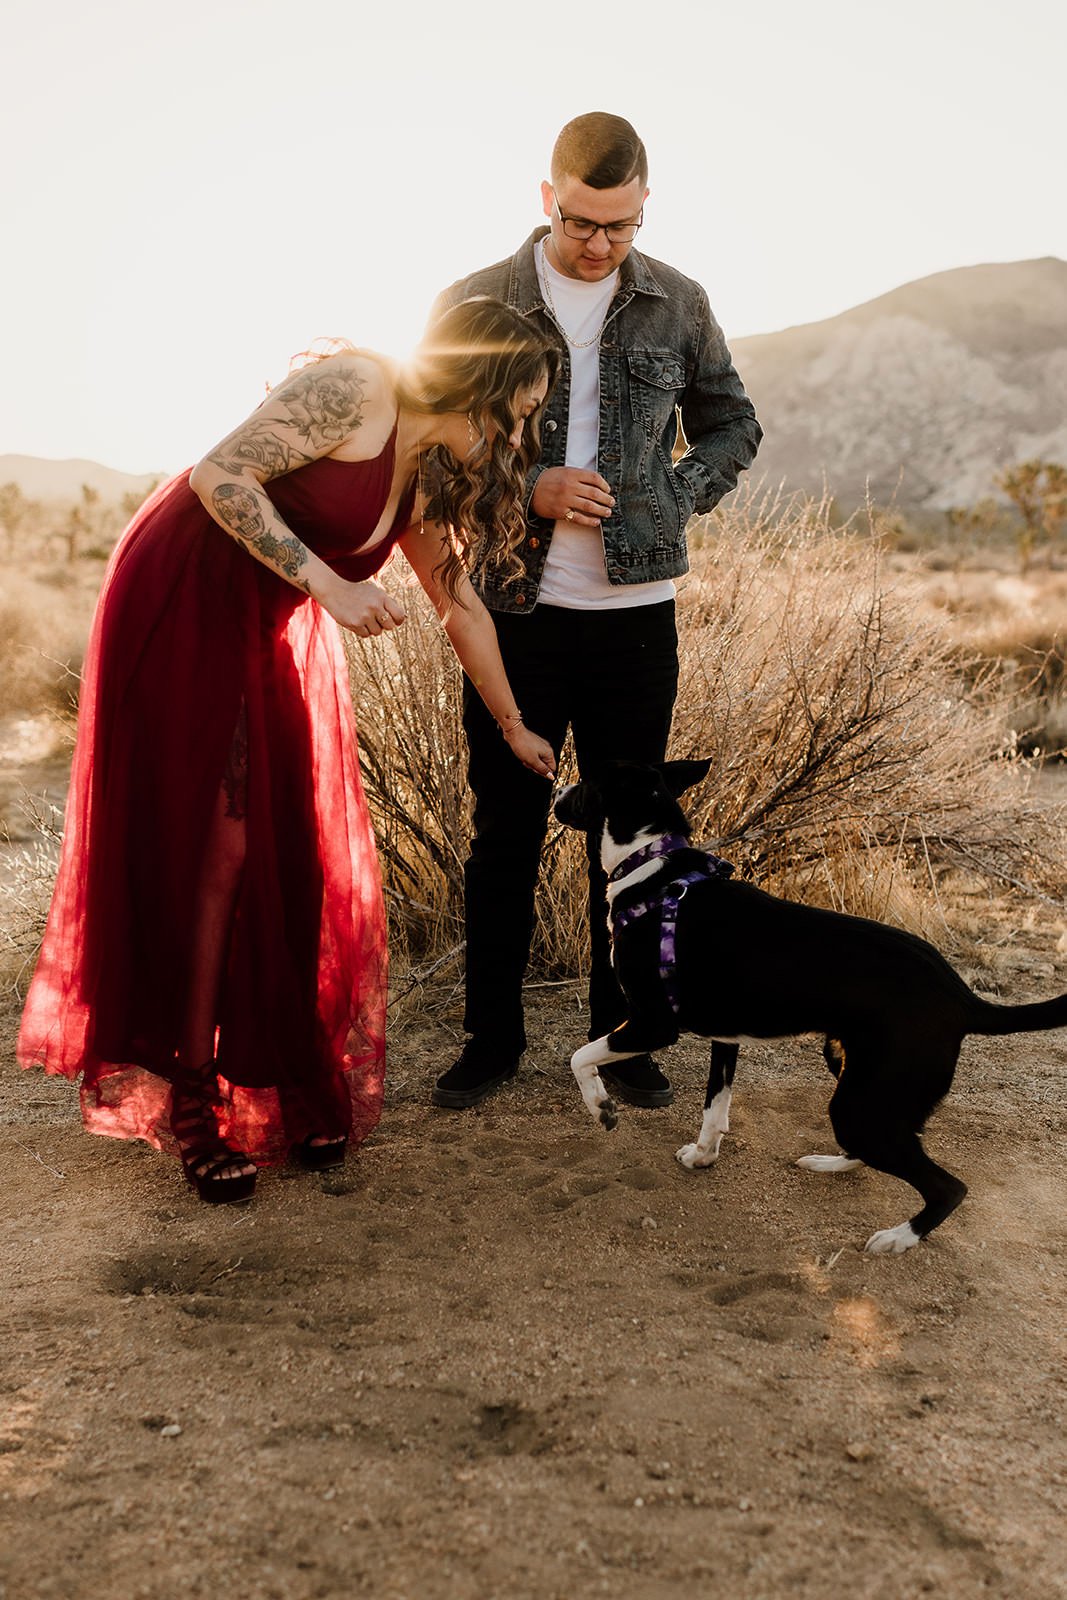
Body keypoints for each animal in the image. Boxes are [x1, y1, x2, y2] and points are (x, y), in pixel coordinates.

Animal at [556, 755, 1062, 1254]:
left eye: (587, 781)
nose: (558, 788)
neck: (654, 867)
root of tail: (962, 996)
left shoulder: (653, 1024)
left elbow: (580, 1057)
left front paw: (601, 1107)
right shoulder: (725, 1036)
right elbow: (715, 1108)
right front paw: (703, 1155)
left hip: (860, 1104)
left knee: (946, 1186)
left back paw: (897, 1237)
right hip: (855, 1073)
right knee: (887, 1149)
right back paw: (827, 1164)